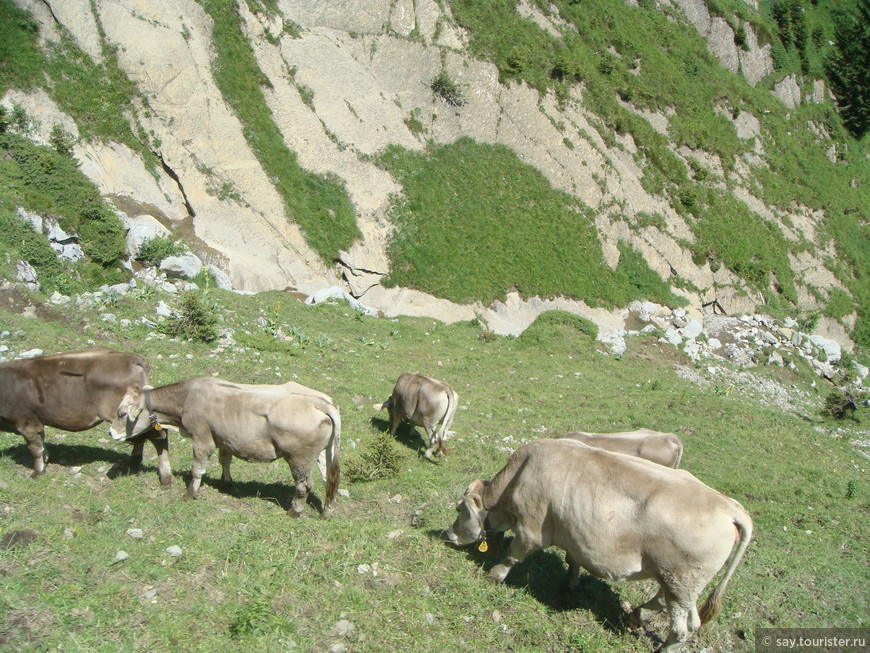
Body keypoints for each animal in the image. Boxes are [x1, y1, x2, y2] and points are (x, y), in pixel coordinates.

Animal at [0, 346, 172, 484]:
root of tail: (131, 357)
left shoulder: (26, 423)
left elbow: (35, 448)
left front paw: (38, 472)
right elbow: (42, 443)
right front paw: (46, 459)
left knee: (158, 436)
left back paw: (165, 477)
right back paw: (135, 462)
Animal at [110, 374, 340, 516]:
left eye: (121, 413)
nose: (111, 432)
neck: (187, 398)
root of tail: (319, 401)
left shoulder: (202, 437)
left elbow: (197, 468)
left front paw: (190, 494)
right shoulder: (225, 439)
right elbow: (225, 460)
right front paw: (225, 482)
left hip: (299, 458)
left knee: (305, 485)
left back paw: (295, 512)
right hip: (323, 454)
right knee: (330, 480)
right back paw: (327, 512)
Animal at [446, 438, 752, 652]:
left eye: (460, 509)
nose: (449, 534)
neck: (518, 476)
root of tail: (729, 507)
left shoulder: (530, 529)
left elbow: (513, 556)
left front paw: (493, 575)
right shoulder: (574, 533)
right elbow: (573, 561)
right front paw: (571, 584)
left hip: (681, 581)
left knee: (682, 628)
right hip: (675, 580)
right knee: (666, 604)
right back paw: (637, 615)